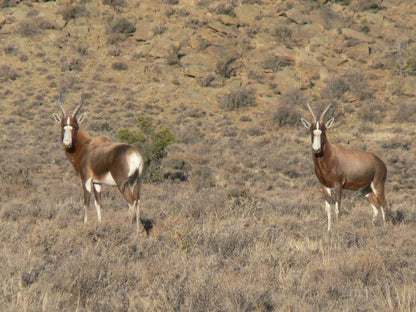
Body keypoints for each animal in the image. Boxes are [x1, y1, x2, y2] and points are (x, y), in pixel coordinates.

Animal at [52, 93, 145, 229]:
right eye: (63, 126)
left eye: (74, 126)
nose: (67, 143)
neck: (87, 147)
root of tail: (134, 154)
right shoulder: (97, 183)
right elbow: (98, 204)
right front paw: (100, 224)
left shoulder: (86, 180)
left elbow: (86, 203)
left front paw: (85, 225)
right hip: (136, 182)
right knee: (137, 201)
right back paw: (138, 231)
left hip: (122, 183)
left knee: (131, 202)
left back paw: (129, 227)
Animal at [300, 103, 388, 232]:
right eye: (311, 130)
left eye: (323, 131)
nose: (316, 149)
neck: (330, 156)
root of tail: (381, 162)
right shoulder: (325, 186)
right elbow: (328, 209)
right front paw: (329, 230)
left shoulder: (339, 185)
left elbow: (337, 208)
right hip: (365, 189)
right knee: (376, 206)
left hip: (378, 185)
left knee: (384, 205)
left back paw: (386, 228)